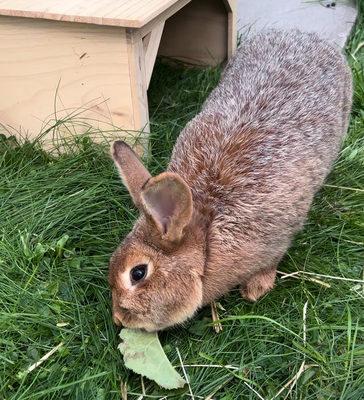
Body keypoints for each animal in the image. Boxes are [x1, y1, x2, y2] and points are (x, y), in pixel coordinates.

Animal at [108, 28, 352, 332]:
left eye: (138, 273)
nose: (119, 318)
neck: (206, 236)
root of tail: (307, 36)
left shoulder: (278, 236)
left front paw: (256, 289)